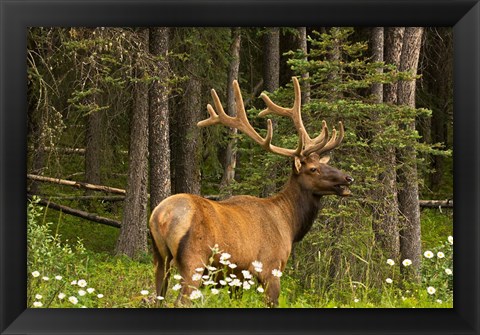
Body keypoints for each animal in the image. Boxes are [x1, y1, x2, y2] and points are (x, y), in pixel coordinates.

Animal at [148, 76, 354, 308]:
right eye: (313, 169)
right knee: (181, 301)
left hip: (159, 258)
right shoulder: (270, 267)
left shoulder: (237, 277)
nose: (348, 178)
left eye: (324, 164)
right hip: (194, 261)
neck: (289, 223)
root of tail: (161, 217)